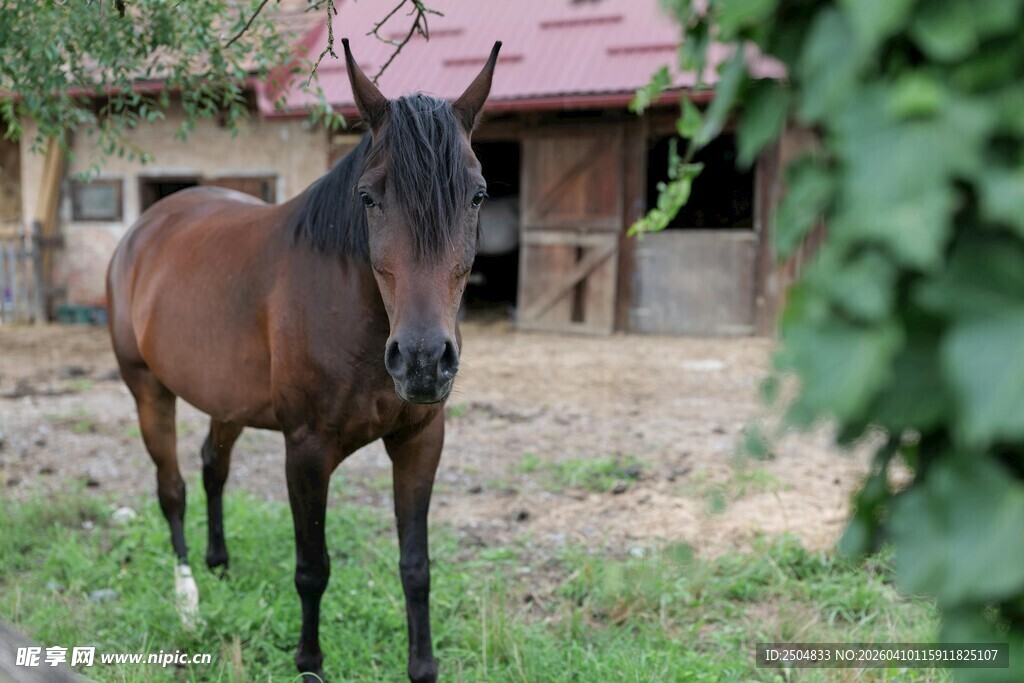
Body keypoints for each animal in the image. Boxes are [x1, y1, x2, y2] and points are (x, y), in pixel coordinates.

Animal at [106, 39, 502, 682]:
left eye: (478, 195)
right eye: (367, 197)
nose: (421, 361)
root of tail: (145, 228)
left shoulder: (421, 441)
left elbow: (415, 568)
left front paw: (422, 667)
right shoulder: (307, 452)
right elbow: (312, 569)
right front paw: (309, 663)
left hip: (227, 400)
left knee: (212, 467)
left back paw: (219, 563)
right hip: (148, 392)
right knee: (172, 489)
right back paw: (188, 600)